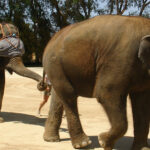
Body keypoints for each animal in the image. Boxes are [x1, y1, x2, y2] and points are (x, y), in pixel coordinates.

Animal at [42, 15, 150, 150]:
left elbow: (142, 104)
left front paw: (143, 148)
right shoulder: (121, 59)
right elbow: (106, 94)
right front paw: (103, 142)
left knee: (58, 97)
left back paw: (51, 139)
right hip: (55, 63)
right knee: (69, 94)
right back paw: (83, 144)